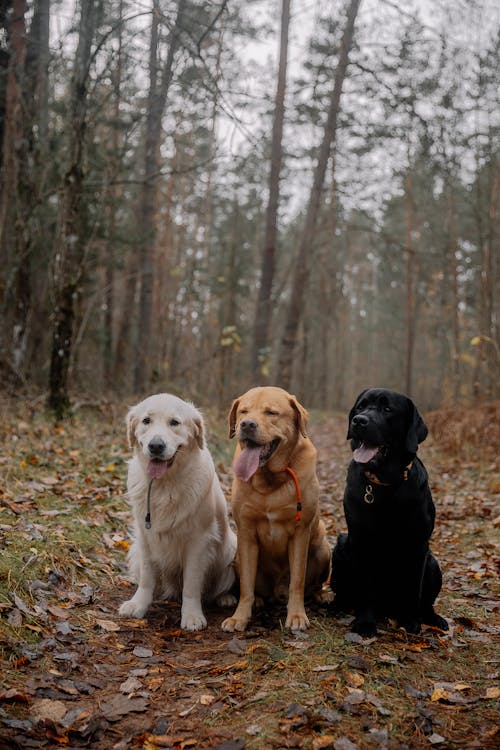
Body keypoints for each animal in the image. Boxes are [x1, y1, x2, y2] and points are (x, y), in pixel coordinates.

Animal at [118, 396, 236, 632]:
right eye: (146, 421)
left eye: (175, 422)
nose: (156, 446)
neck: (165, 485)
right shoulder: (145, 536)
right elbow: (147, 578)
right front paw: (138, 604)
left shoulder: (199, 541)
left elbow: (191, 584)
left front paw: (192, 615)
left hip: (231, 547)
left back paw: (225, 597)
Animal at [221, 384, 330, 632]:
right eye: (243, 411)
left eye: (271, 412)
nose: (247, 424)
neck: (269, 479)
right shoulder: (246, 534)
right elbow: (247, 586)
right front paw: (240, 617)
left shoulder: (300, 533)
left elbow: (297, 581)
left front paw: (297, 615)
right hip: (238, 556)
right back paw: (255, 600)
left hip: (323, 547)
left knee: (311, 585)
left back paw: (321, 595)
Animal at [332, 388, 450, 640]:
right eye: (360, 407)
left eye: (388, 409)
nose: (359, 420)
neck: (385, 483)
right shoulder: (361, 541)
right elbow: (366, 586)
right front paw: (365, 623)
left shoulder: (417, 545)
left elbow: (413, 589)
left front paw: (411, 622)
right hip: (341, 547)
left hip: (432, 563)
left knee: (426, 602)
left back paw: (433, 619)